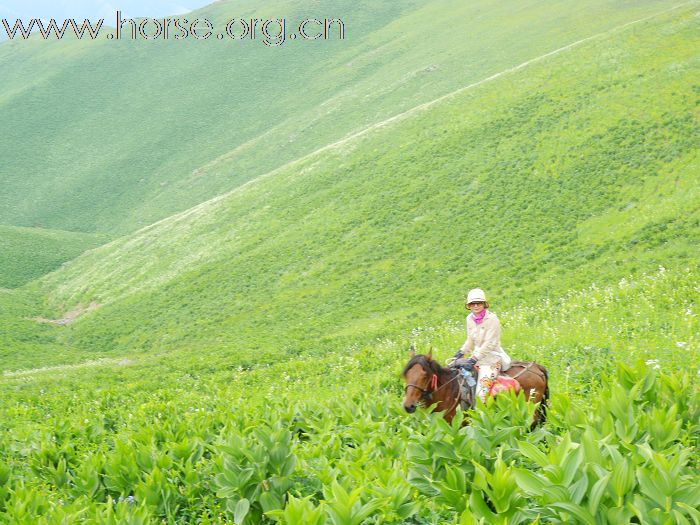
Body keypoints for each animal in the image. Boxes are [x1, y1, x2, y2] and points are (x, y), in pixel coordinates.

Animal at [402, 348, 548, 426]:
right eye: (406, 375)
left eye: (425, 375)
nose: (409, 405)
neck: (449, 391)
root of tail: (536, 367)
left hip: (531, 409)